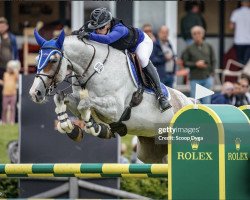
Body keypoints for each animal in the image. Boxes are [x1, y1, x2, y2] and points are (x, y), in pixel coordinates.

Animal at [29, 30, 193, 163]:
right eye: (37, 60)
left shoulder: (116, 109)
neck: (95, 69)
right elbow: (62, 98)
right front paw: (71, 128)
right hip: (151, 151)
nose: (35, 93)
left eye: (53, 60)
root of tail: (190, 101)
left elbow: (85, 104)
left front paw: (95, 127)